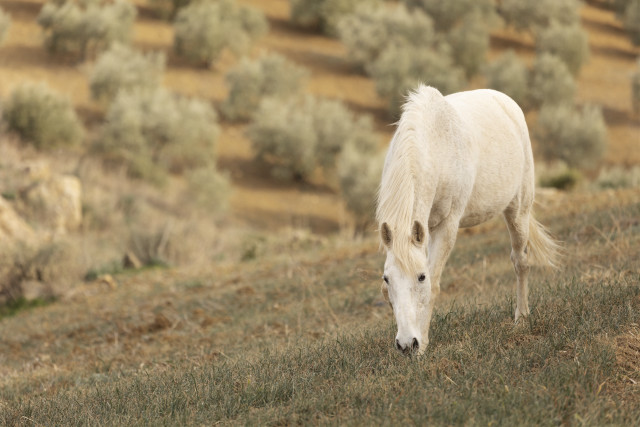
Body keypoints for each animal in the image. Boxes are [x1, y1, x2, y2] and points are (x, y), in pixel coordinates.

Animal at [376, 85, 560, 355]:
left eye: (421, 277)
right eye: (386, 278)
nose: (407, 345)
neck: (434, 147)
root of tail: (506, 102)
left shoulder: (447, 226)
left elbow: (435, 285)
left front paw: (423, 345)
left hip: (518, 210)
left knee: (521, 262)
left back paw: (522, 318)